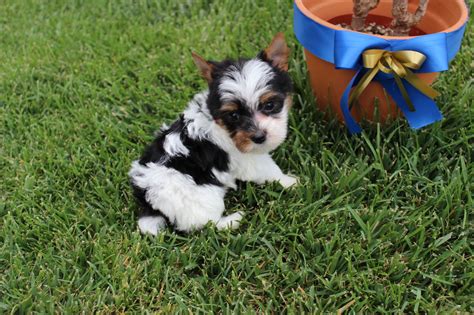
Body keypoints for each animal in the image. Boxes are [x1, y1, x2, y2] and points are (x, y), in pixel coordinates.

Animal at [128, 33, 294, 236]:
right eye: (234, 115)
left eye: (269, 105)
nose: (259, 137)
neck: (220, 124)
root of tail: (146, 197)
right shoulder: (247, 160)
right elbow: (270, 170)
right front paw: (290, 181)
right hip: (200, 199)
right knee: (205, 223)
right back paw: (233, 220)